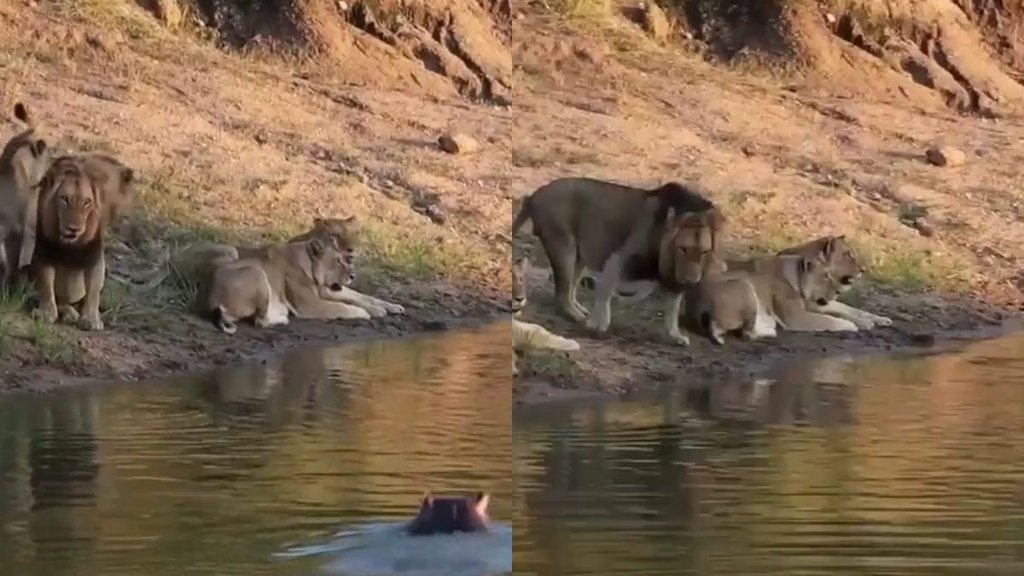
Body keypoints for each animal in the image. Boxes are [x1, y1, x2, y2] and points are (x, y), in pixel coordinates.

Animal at [207, 233, 378, 334]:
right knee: (260, 321)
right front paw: (364, 313)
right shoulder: (309, 305)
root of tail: (212, 302)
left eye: (344, 260)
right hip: (256, 272)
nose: (353, 276)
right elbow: (342, 307)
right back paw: (283, 318)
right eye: (338, 261)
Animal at [511, 177, 725, 345]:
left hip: (581, 254)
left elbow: (670, 305)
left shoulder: (671, 277)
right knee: (561, 296)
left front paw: (675, 335)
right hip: (564, 246)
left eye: (704, 252)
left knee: (570, 289)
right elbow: (606, 292)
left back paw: (580, 310)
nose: (691, 280)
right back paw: (578, 317)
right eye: (683, 249)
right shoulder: (619, 257)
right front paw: (598, 324)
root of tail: (534, 195)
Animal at [686, 254, 857, 345]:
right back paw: (769, 328)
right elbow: (829, 320)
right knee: (748, 333)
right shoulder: (796, 317)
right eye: (826, 276)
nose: (838, 291)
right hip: (744, 285)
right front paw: (852, 325)